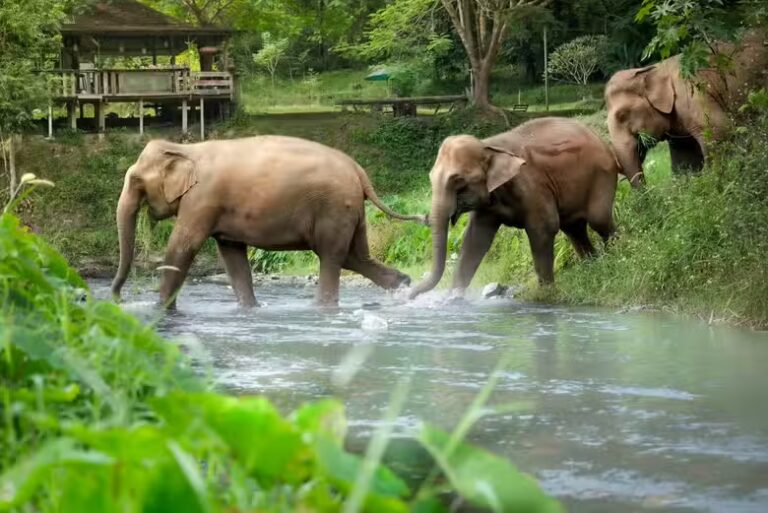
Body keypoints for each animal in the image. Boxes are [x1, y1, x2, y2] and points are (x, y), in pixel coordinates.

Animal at [111, 135, 425, 308]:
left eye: (136, 181)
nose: (118, 299)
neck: (187, 149)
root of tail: (359, 171)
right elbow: (232, 256)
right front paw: (249, 308)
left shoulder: (203, 200)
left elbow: (183, 246)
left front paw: (159, 310)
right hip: (350, 210)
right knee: (354, 257)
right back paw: (404, 286)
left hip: (334, 208)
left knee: (331, 257)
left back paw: (322, 306)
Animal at [409, 117, 619, 299]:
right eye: (430, 177)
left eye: (458, 181)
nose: (409, 295)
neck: (488, 146)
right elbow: (475, 239)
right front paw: (453, 299)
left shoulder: (532, 185)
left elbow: (544, 228)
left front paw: (545, 294)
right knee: (574, 229)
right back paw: (593, 266)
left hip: (602, 175)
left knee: (598, 220)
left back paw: (615, 258)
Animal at [605, 29, 768, 187]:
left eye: (621, 115)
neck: (654, 69)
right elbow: (684, 158)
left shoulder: (693, 96)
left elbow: (718, 132)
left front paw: (713, 183)